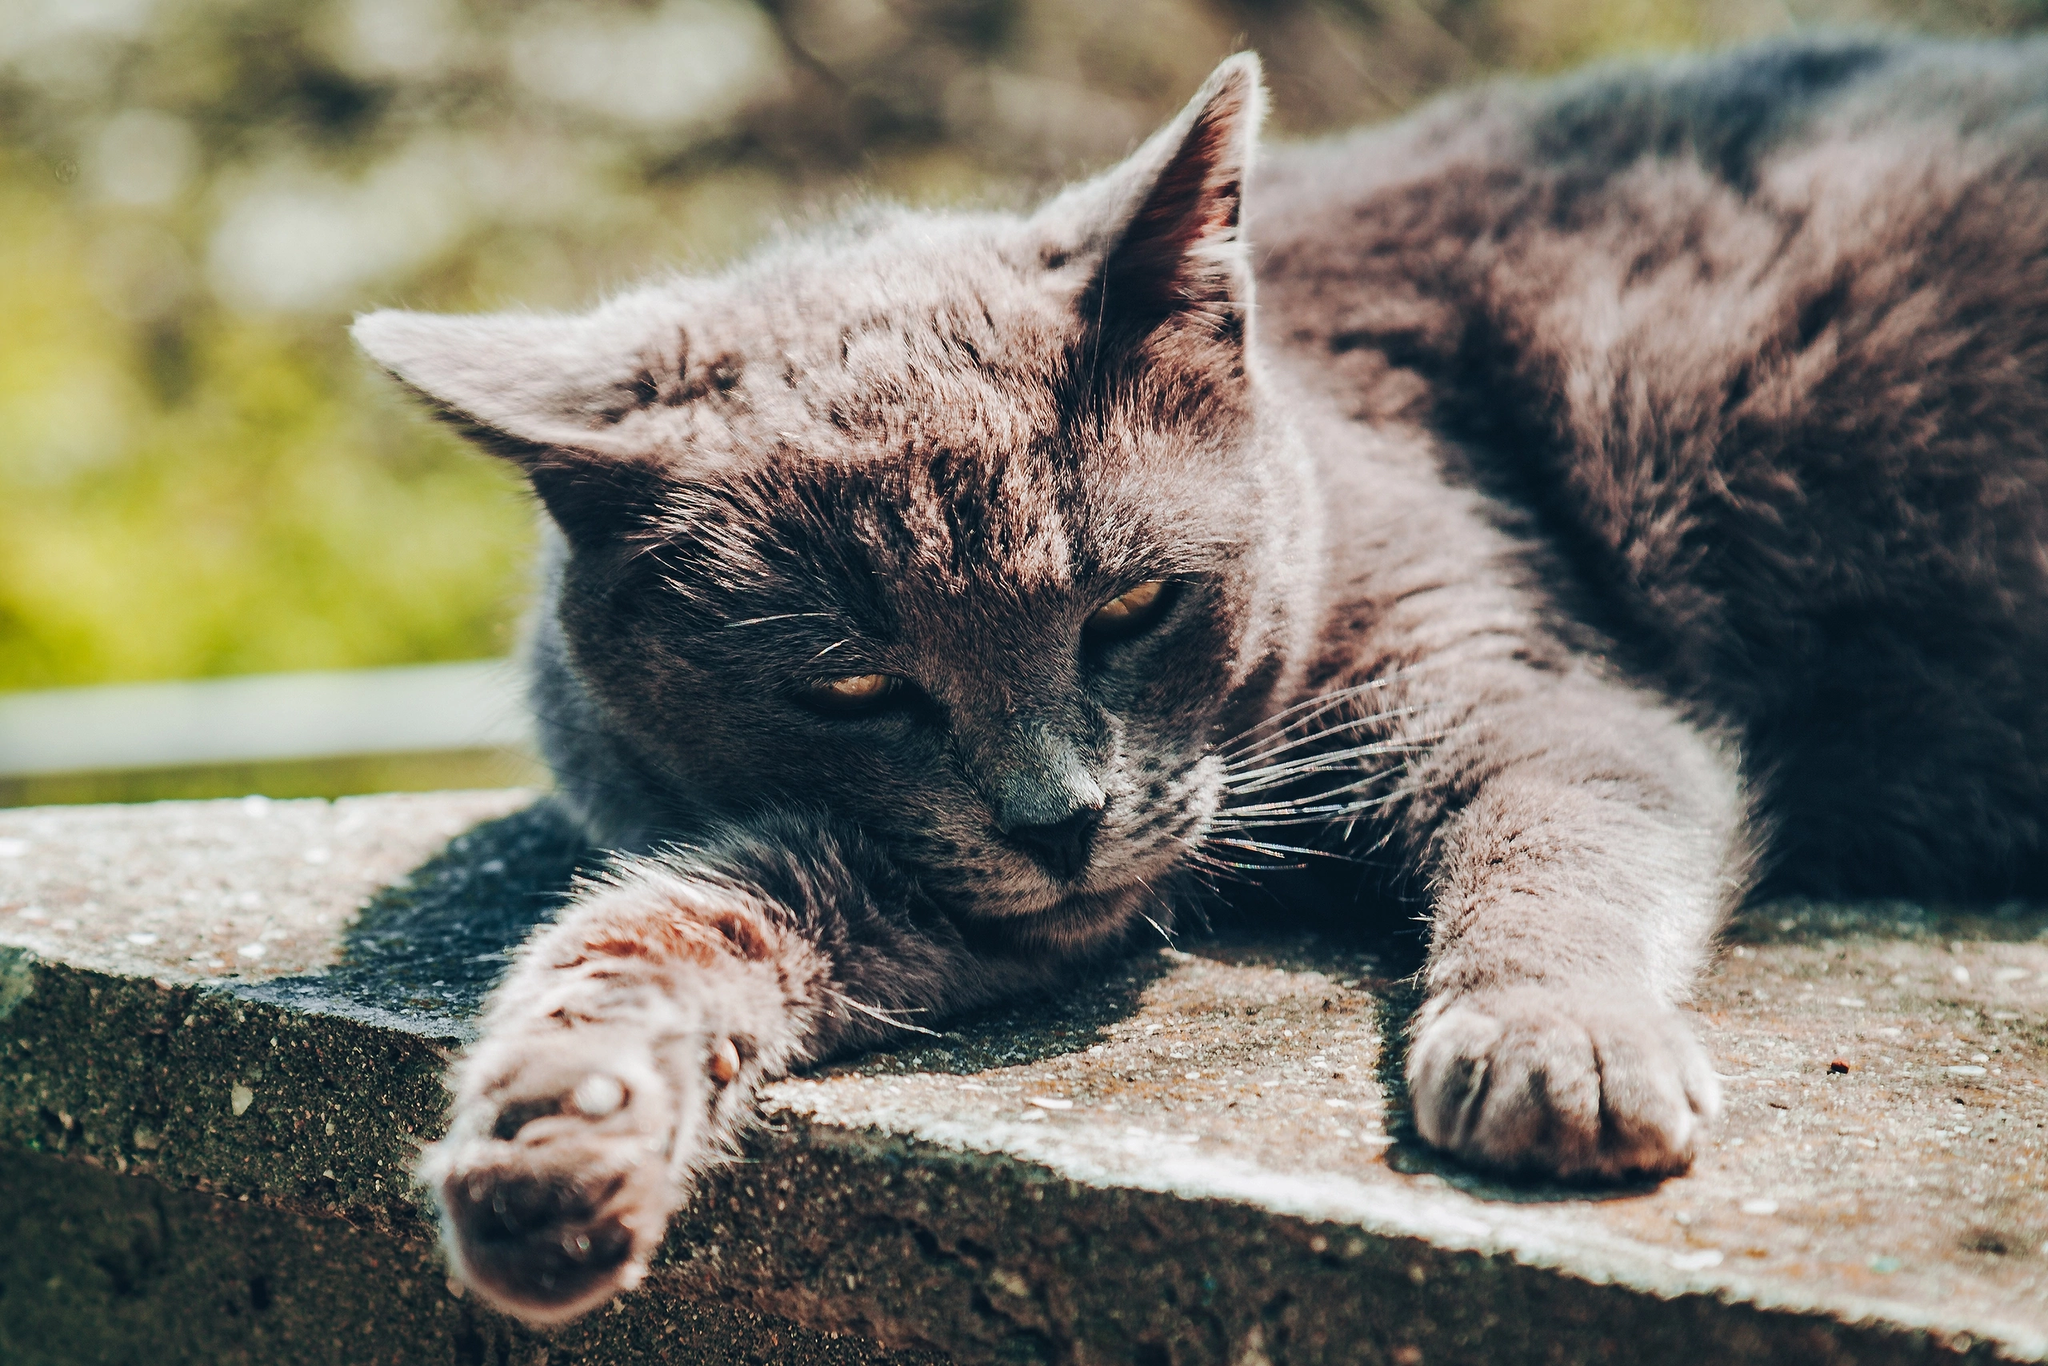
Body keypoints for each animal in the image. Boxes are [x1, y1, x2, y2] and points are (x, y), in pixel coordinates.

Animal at [348, 37, 2048, 1327]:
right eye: (854, 691)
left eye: (1134, 606)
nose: (1059, 819)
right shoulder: (912, 878)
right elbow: (672, 918)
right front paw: (558, 1131)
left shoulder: (1509, 669)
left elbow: (1566, 828)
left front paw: (1556, 1047)